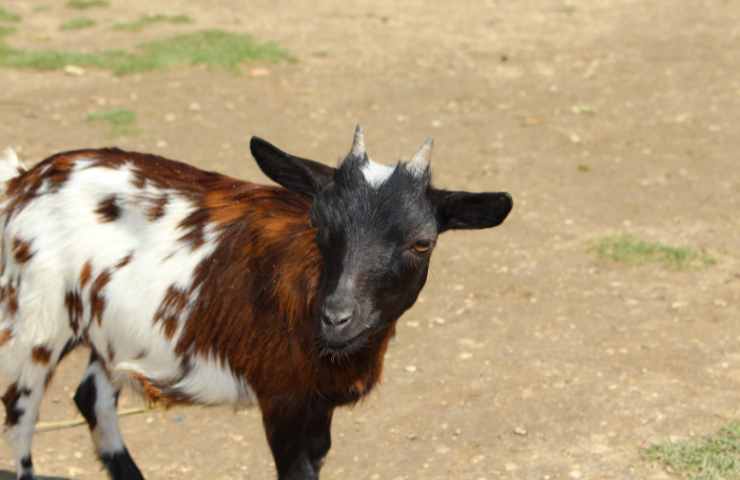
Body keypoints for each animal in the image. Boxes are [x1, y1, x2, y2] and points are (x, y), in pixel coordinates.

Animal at [0, 127, 512, 480]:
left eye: (422, 242)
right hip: (34, 321)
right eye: (317, 221)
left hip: (107, 330)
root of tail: (24, 181)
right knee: (20, 419)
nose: (336, 318)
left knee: (92, 398)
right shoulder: (282, 398)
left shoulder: (315, 403)